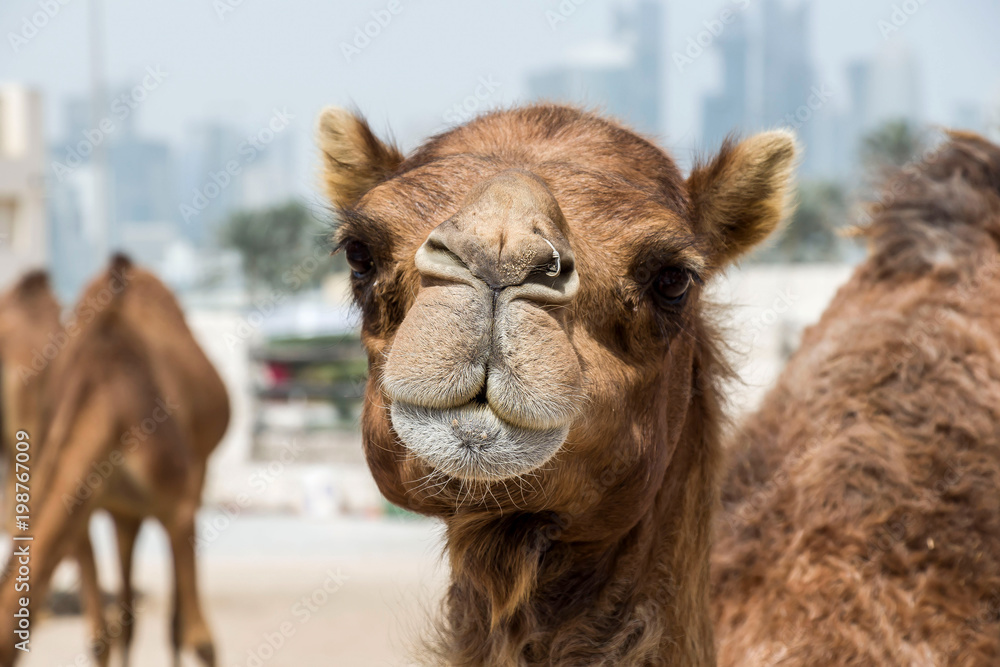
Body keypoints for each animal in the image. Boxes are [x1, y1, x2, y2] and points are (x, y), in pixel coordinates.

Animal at [0, 254, 230, 666]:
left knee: (176, 625)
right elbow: (100, 639)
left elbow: (202, 642)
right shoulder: (82, 514)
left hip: (196, 471)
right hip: (124, 510)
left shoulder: (179, 506)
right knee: (129, 621)